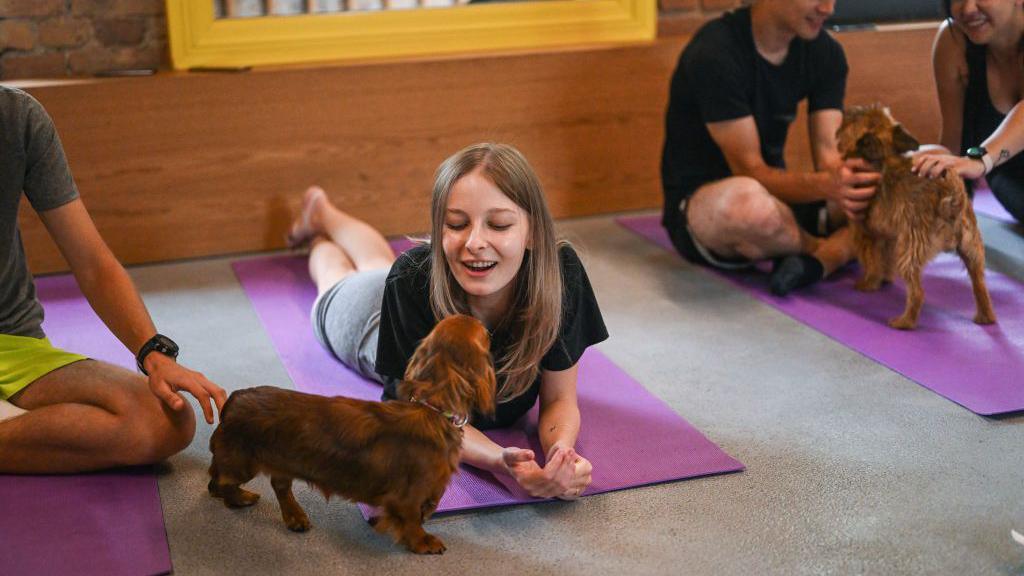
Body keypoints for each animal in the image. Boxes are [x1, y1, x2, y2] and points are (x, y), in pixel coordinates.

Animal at [206, 313, 495, 553]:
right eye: (484, 333)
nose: (483, 320)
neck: (432, 409)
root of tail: (234, 399)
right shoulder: (408, 495)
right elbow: (413, 519)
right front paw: (423, 542)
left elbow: (431, 502)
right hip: (242, 463)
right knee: (220, 484)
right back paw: (241, 498)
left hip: (281, 460)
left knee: (278, 485)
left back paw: (294, 516)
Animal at [835, 103, 995, 327]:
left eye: (854, 118)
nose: (849, 110)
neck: (884, 157)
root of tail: (950, 197)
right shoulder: (889, 237)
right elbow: (884, 260)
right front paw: (885, 279)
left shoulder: (866, 234)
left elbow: (872, 262)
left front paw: (869, 283)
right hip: (972, 248)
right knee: (979, 283)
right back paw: (985, 316)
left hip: (910, 249)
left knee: (917, 292)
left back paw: (904, 322)